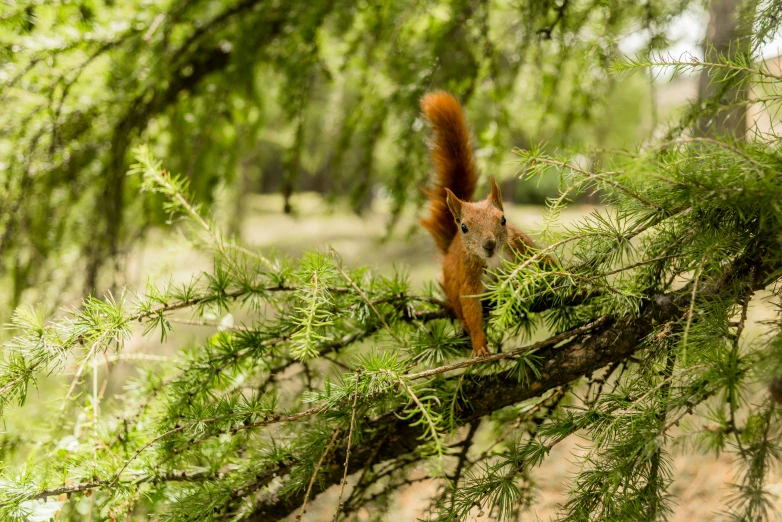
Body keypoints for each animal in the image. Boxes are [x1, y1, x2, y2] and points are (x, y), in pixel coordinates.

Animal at [422, 90, 540, 358]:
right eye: (464, 227)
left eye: (503, 220)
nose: (489, 244)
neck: (493, 259)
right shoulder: (469, 275)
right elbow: (471, 308)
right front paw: (480, 346)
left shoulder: (521, 245)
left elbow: (545, 260)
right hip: (451, 282)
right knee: (458, 307)